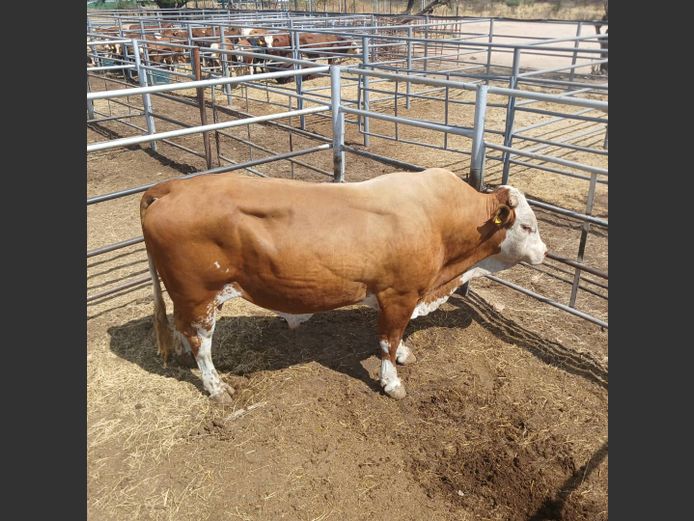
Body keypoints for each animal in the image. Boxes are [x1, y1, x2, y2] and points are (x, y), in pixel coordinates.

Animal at [140, 168, 547, 403]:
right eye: (527, 226)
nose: (544, 252)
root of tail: (174, 188)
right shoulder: (399, 294)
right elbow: (387, 340)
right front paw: (391, 382)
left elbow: (396, 337)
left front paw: (403, 355)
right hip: (200, 296)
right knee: (201, 343)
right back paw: (217, 387)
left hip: (189, 299)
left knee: (182, 330)